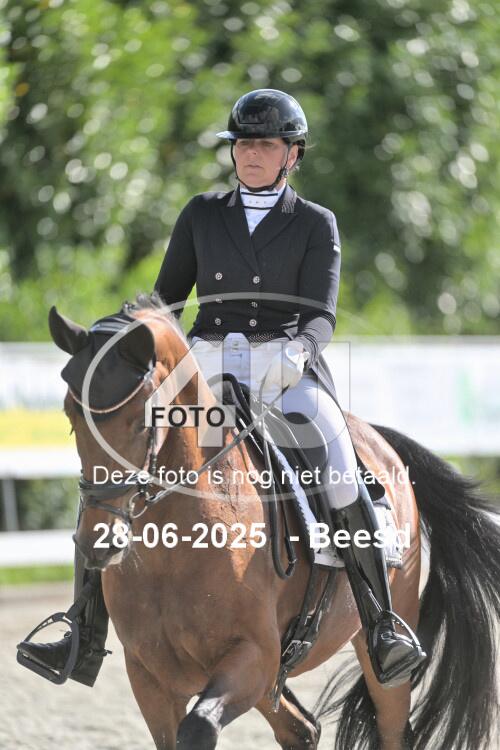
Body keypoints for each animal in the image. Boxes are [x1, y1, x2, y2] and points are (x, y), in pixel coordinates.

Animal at [49, 293, 500, 750]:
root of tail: (377, 437)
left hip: (380, 646)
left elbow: (199, 727)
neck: (172, 551)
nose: (99, 543)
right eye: (70, 415)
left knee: (390, 723)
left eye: (144, 419)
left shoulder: (253, 658)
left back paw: (391, 645)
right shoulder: (150, 679)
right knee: (302, 729)